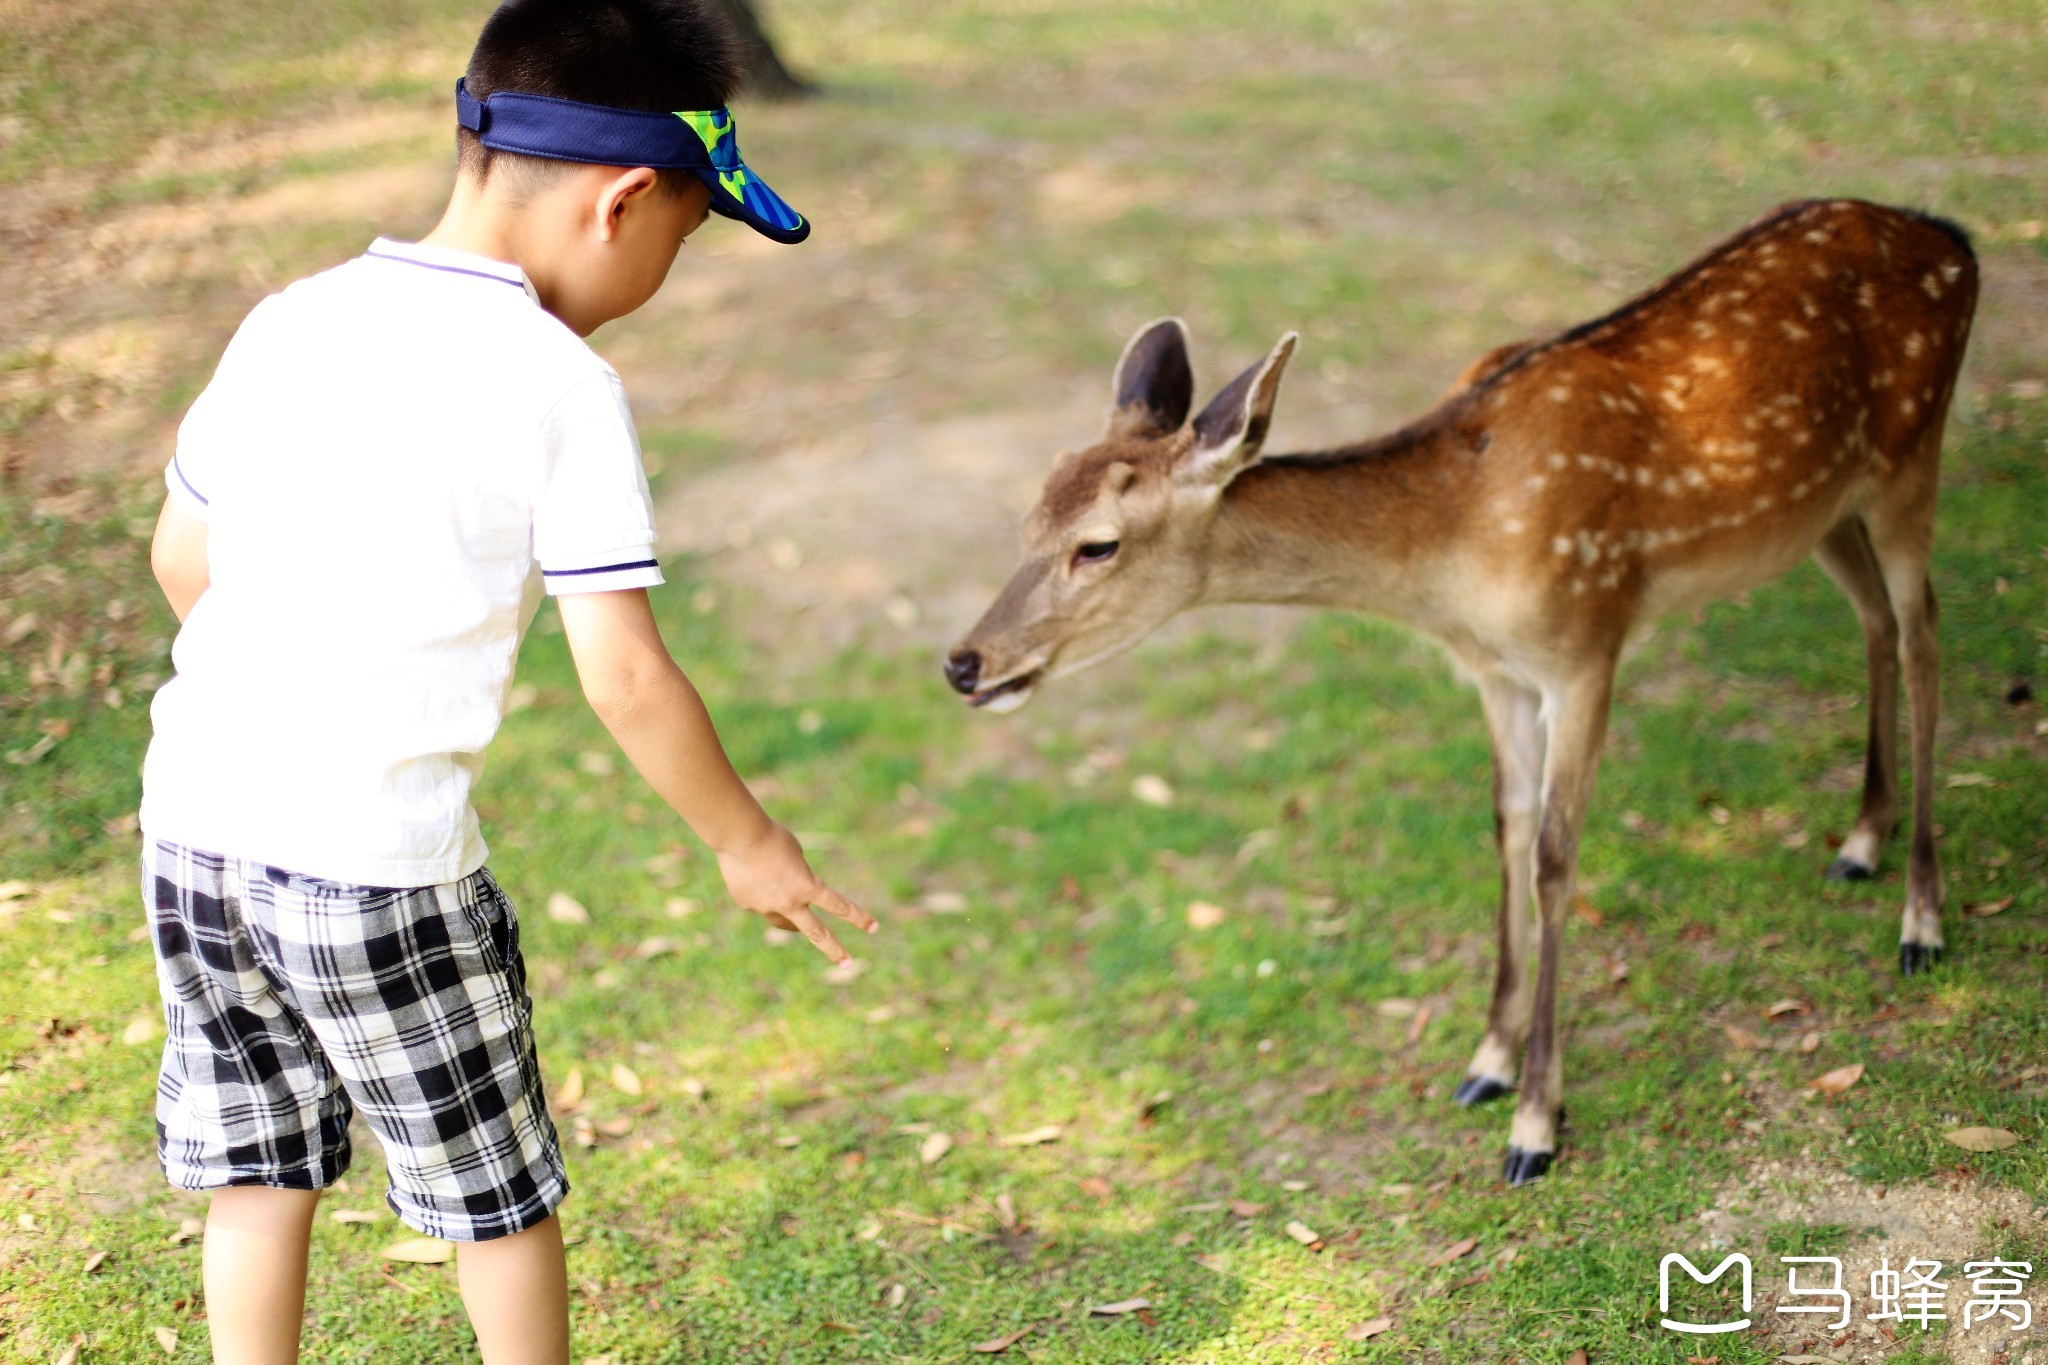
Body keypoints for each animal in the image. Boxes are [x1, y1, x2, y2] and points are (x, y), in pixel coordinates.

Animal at [946, 200, 1982, 1186]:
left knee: (1926, 630)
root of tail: (1954, 241)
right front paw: (1485, 1062)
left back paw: (1921, 921)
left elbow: (1557, 856)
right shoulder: (1494, 672)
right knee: (1876, 620)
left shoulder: (1586, 641)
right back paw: (1859, 840)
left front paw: (1536, 1125)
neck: (1453, 556)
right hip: (1820, 508)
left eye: (1099, 544)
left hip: (1910, 451)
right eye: (1028, 517)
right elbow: (1506, 828)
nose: (964, 662)